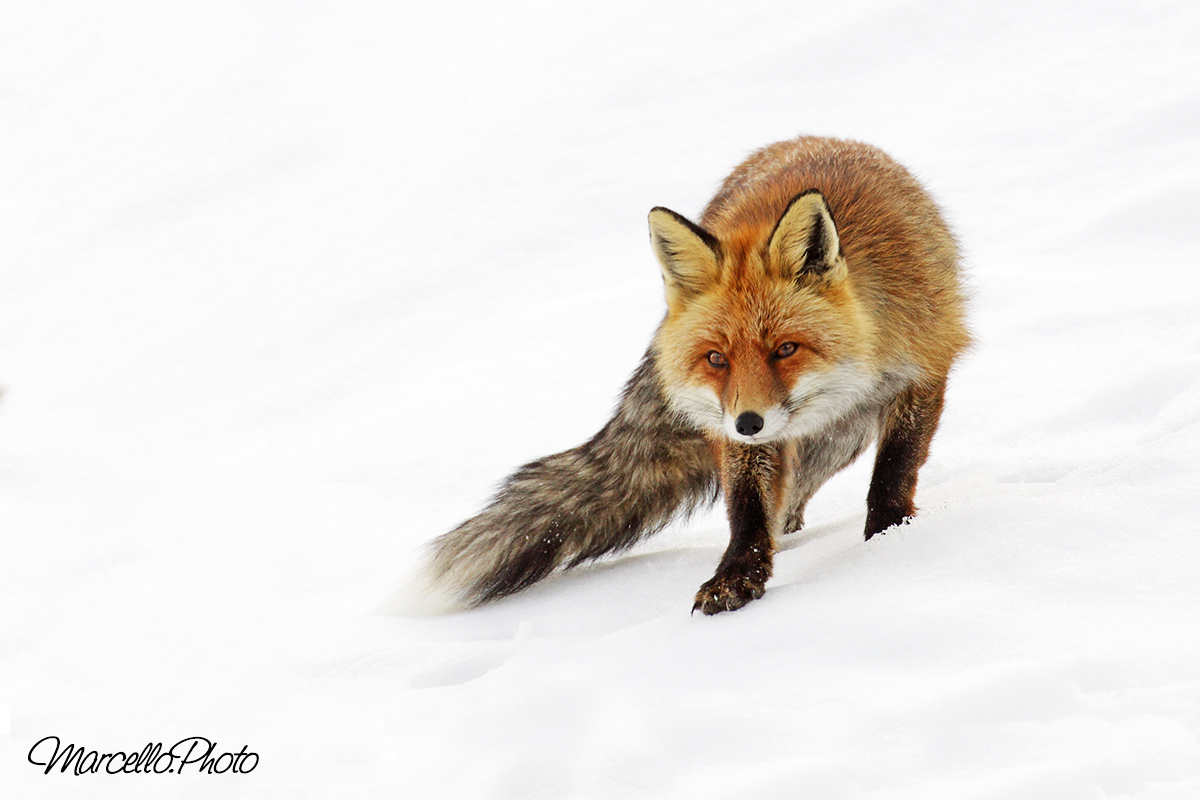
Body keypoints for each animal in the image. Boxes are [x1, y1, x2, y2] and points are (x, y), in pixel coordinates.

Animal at [408, 135, 970, 615]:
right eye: (717, 358)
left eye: (786, 349)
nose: (748, 423)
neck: (871, 335)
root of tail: (812, 139)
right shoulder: (742, 434)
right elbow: (747, 508)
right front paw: (737, 576)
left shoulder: (922, 369)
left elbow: (894, 470)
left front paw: (888, 539)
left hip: (841, 437)